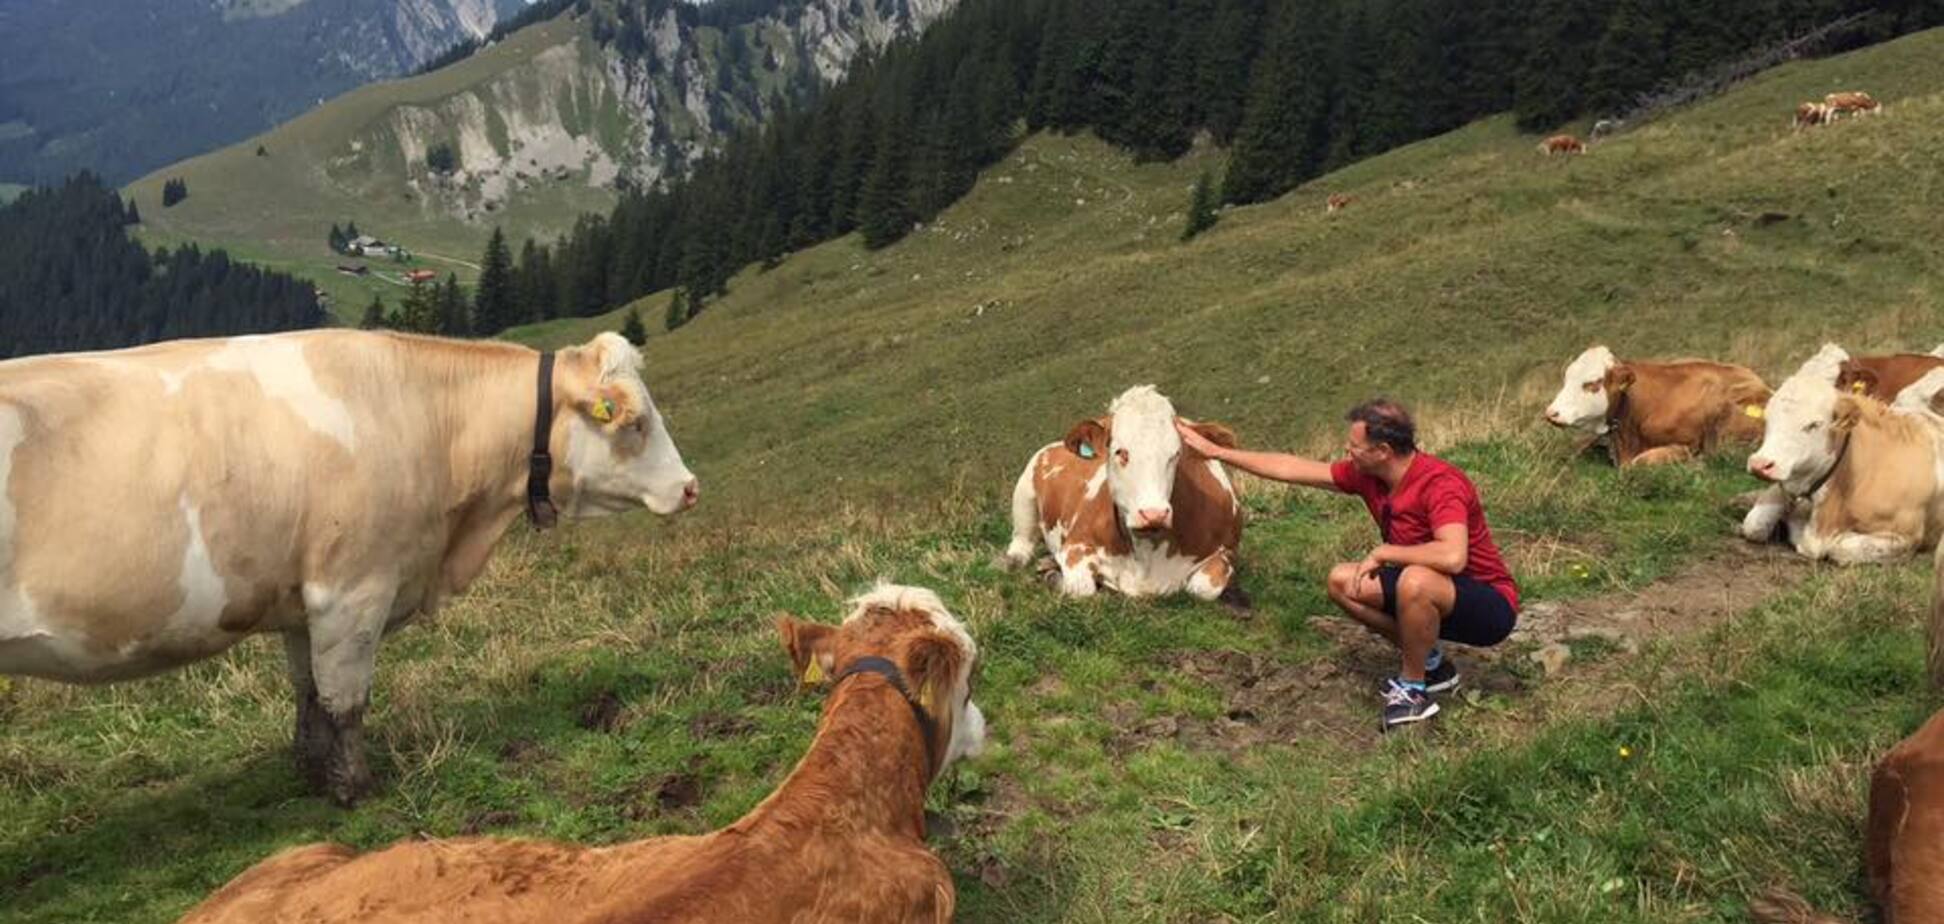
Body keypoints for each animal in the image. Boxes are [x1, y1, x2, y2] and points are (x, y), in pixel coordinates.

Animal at [0, 328, 699, 805]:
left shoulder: (302, 601)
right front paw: (355, 787)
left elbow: (308, 692)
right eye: (635, 423)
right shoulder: (353, 589)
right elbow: (346, 700)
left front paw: (311, 772)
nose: (690, 487)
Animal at [1003, 387, 1244, 603]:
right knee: (1021, 541)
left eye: (1176, 454)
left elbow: (1202, 588)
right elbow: (1081, 588)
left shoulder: (1228, 552)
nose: (1154, 514)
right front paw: (1056, 579)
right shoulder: (1076, 542)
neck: (1147, 556)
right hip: (1024, 491)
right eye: (1120, 452)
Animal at [1741, 346, 1944, 564]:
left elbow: (1839, 547)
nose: (1760, 464)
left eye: (1814, 424)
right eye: (1767, 416)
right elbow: (1754, 524)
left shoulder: (1905, 537)